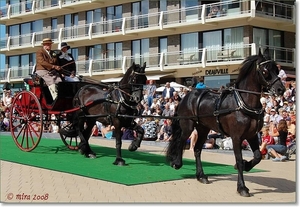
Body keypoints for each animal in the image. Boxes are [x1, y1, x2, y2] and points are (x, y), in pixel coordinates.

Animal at [166, 49, 286, 197]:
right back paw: (177, 163)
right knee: (181, 141)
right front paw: (242, 187)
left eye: (276, 69)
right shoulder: (236, 137)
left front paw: (247, 165)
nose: (281, 89)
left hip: (203, 129)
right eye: (265, 70)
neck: (242, 103)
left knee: (197, 149)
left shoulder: (251, 135)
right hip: (187, 125)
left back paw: (201, 176)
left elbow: (257, 156)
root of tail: (187, 96)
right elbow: (239, 160)